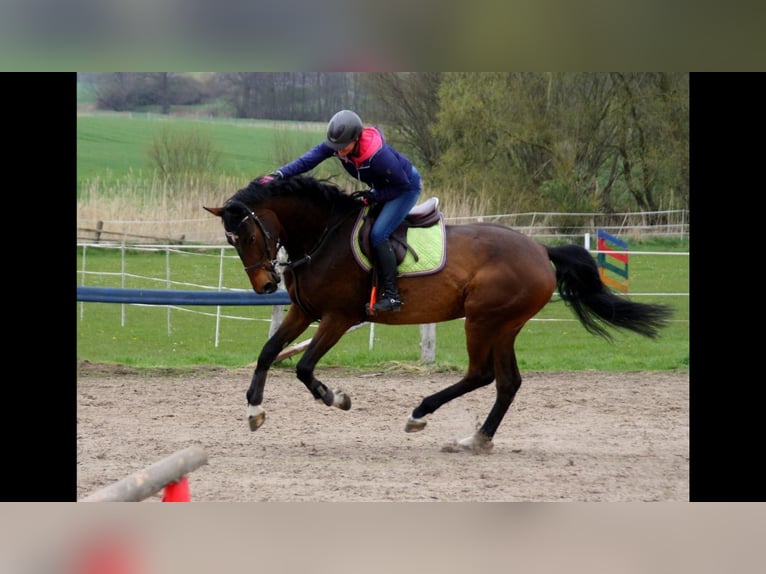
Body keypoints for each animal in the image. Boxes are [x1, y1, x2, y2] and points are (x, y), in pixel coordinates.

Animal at [205, 175, 672, 452]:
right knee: (507, 382)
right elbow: (268, 353)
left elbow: (303, 367)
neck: (323, 236)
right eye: (232, 241)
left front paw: (335, 397)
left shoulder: (338, 317)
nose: (265, 286)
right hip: (505, 325)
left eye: (247, 234)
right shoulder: (303, 312)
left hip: (483, 319)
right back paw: (477, 439)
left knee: (481, 374)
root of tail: (541, 250)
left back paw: (419, 415)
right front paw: (254, 411)